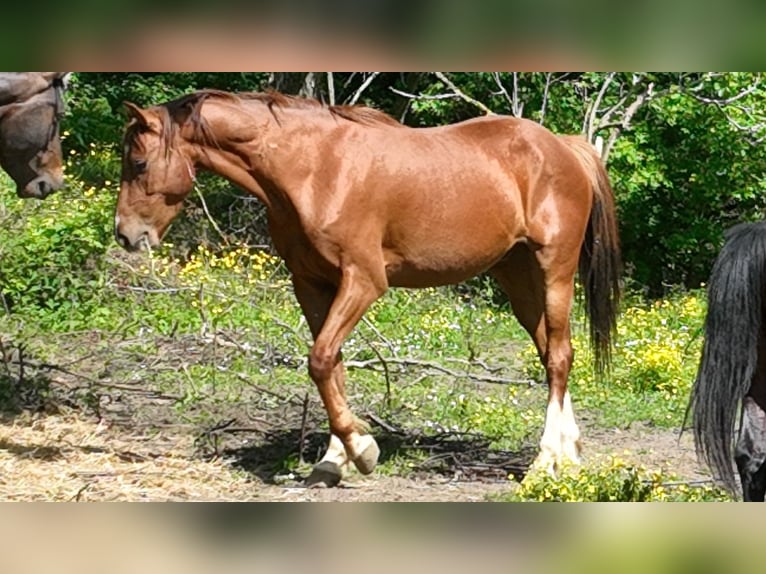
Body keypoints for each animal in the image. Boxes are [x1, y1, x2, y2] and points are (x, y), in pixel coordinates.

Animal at [115, 89, 621, 487]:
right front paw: (333, 460)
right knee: (551, 351)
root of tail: (562, 147)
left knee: (559, 358)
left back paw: (543, 462)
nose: (125, 234)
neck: (315, 169)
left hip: (554, 271)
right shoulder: (312, 284)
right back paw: (568, 458)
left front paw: (361, 449)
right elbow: (332, 365)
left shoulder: (363, 281)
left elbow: (320, 359)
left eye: (138, 162)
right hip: (517, 277)